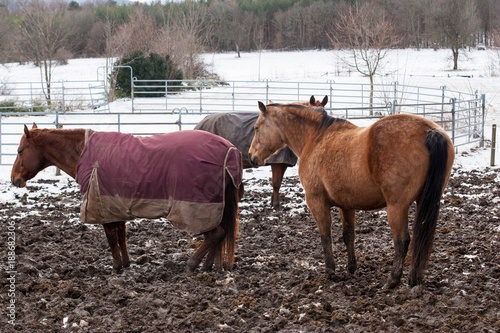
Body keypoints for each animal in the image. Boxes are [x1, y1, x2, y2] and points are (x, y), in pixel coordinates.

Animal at [12, 124, 243, 272]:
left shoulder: (102, 209)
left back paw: (193, 264)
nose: (14, 179)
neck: (84, 153)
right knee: (219, 234)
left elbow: (111, 238)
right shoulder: (115, 207)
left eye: (20, 150)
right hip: (214, 209)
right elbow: (121, 236)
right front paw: (125, 264)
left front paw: (116, 267)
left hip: (199, 210)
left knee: (215, 234)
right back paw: (207, 266)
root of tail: (229, 150)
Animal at [194, 94, 328, 208]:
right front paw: (275, 204)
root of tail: (200, 123)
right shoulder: (277, 162)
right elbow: (276, 183)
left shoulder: (283, 163)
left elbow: (278, 183)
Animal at [248, 101, 456, 288]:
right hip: (424, 201)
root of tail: (430, 131)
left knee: (402, 241)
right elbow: (348, 235)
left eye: (257, 128)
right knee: (421, 237)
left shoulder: (317, 202)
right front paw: (351, 267)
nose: (252, 156)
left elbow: (325, 235)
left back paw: (392, 281)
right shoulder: (346, 205)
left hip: (397, 207)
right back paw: (414, 279)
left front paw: (330, 271)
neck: (316, 138)